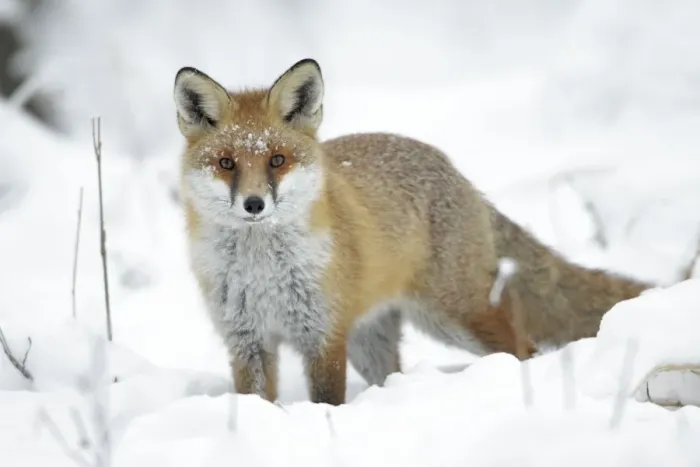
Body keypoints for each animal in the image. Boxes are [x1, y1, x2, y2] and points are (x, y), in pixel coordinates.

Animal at [173, 58, 652, 406]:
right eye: (227, 163)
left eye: (277, 160)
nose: (254, 204)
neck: (262, 272)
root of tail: (455, 172)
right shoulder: (247, 340)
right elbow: (255, 400)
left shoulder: (323, 336)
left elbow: (327, 402)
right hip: (372, 342)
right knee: (394, 374)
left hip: (456, 316)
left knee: (525, 348)